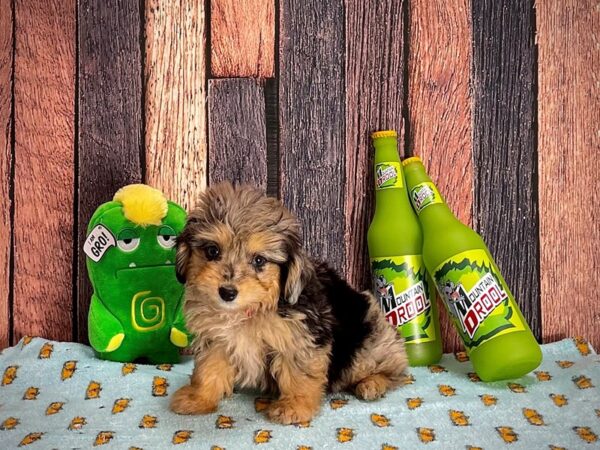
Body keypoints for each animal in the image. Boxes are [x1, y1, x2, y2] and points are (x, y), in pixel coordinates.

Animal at [171, 184, 410, 426]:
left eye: (259, 260)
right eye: (212, 251)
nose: (227, 292)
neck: (251, 310)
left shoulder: (302, 336)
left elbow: (298, 373)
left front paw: (294, 406)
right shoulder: (216, 339)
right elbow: (209, 367)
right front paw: (198, 398)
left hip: (368, 342)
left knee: (393, 369)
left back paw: (372, 383)